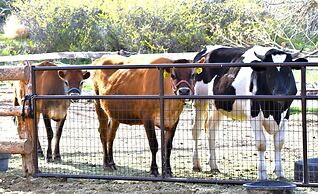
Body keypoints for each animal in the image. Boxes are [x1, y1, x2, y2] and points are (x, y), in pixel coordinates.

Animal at [193, 44, 306, 180]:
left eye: (289, 72)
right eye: (269, 72)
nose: (281, 94)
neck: (273, 110)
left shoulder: (285, 114)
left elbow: (279, 142)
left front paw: (280, 173)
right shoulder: (254, 114)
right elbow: (261, 143)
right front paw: (262, 174)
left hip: (217, 106)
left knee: (211, 131)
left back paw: (214, 165)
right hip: (200, 100)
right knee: (196, 130)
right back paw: (196, 164)